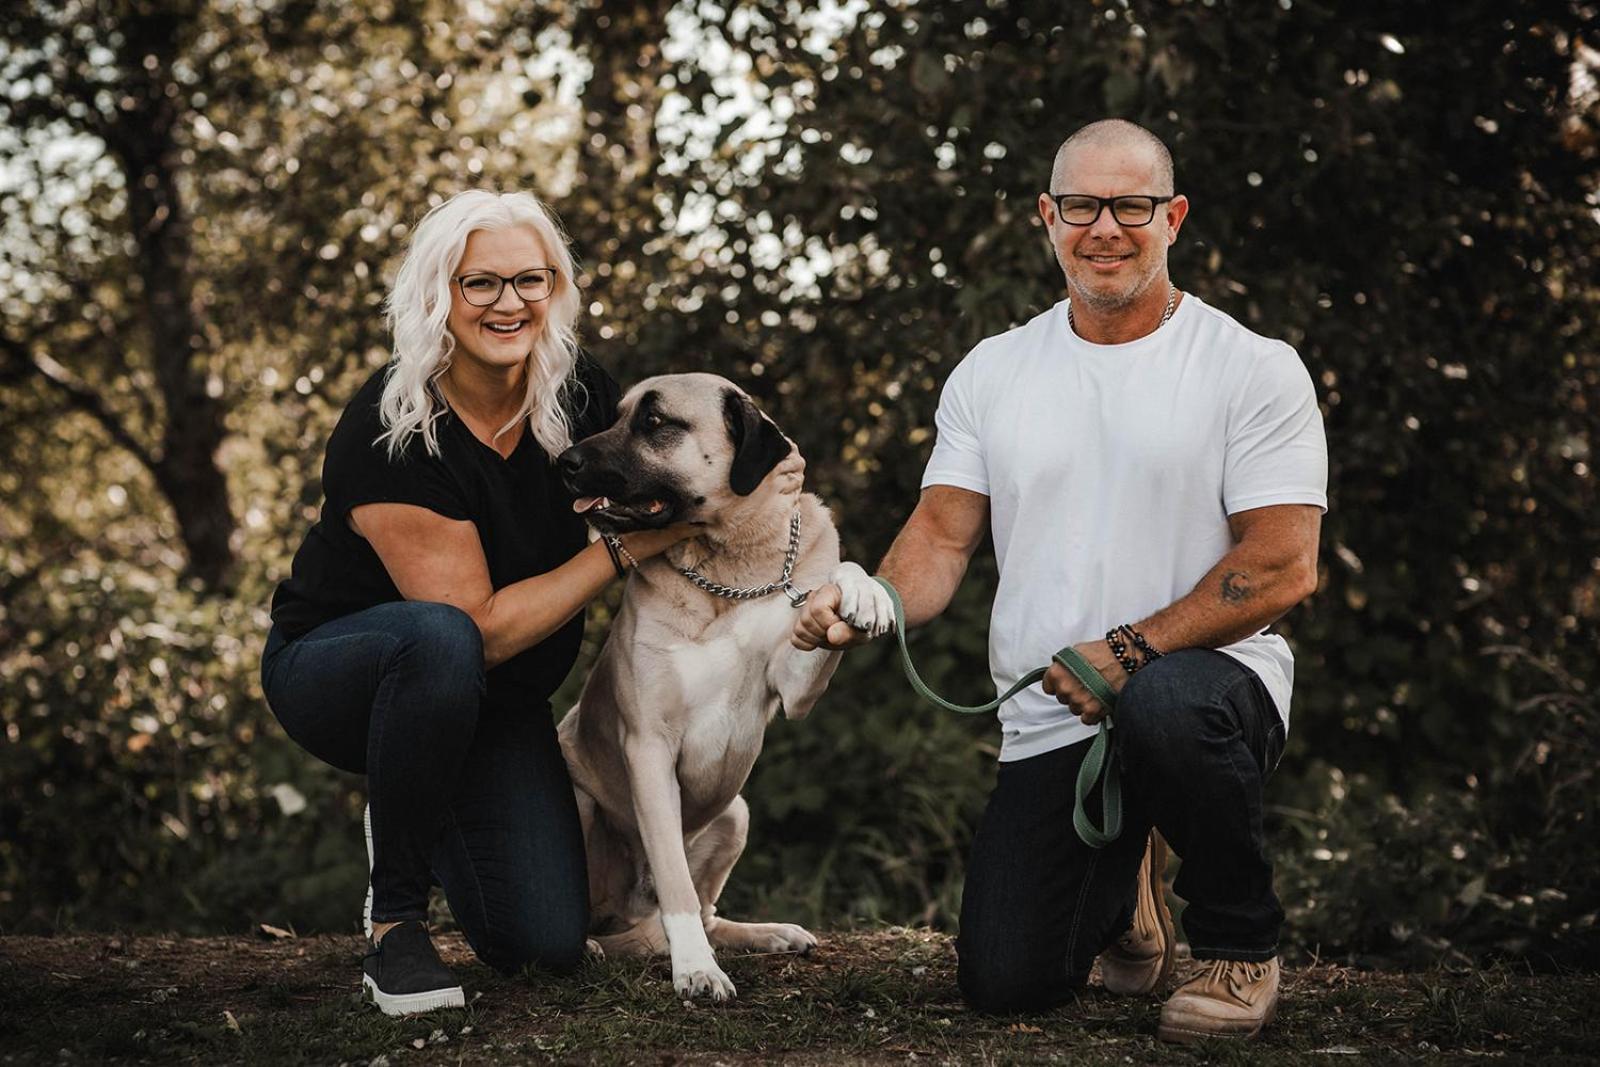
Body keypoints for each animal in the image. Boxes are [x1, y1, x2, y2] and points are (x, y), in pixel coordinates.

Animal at [556, 374, 896, 1004]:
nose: (565, 462)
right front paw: (695, 969)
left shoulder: (796, 686)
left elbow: (832, 583)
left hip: (736, 812)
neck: (727, 566)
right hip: (584, 802)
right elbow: (677, 890)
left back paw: (769, 933)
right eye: (617, 416)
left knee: (710, 912)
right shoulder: (648, 744)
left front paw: (864, 592)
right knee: (634, 914)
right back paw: (596, 946)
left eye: (656, 422)